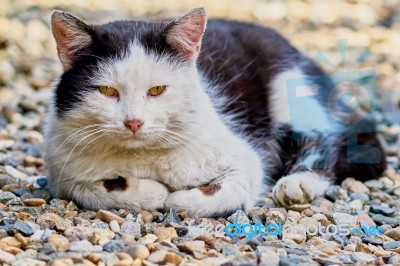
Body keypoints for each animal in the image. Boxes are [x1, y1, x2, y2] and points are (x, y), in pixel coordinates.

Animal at [45, 7, 386, 216]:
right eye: (107, 91)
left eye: (157, 90)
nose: (133, 122)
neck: (143, 158)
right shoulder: (63, 171)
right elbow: (95, 189)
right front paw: (150, 192)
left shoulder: (245, 159)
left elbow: (225, 190)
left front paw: (178, 198)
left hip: (291, 87)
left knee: (331, 140)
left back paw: (299, 182)